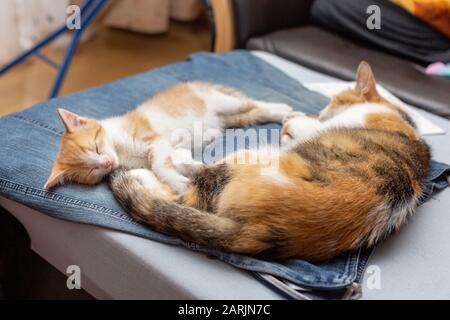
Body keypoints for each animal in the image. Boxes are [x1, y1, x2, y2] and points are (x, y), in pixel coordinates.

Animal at [44, 82, 292, 192]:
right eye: (91, 170)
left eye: (95, 147)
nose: (105, 163)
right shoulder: (171, 148)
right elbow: (178, 161)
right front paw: (192, 170)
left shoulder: (155, 140)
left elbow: (159, 166)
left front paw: (180, 184)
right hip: (233, 118)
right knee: (253, 113)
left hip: (223, 101)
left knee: (254, 103)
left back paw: (284, 110)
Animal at [108, 62, 428, 262]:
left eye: (333, 99)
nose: (321, 111)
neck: (397, 117)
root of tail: (262, 230)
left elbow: (298, 127)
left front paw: (293, 122)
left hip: (247, 157)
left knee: (189, 185)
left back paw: (160, 163)